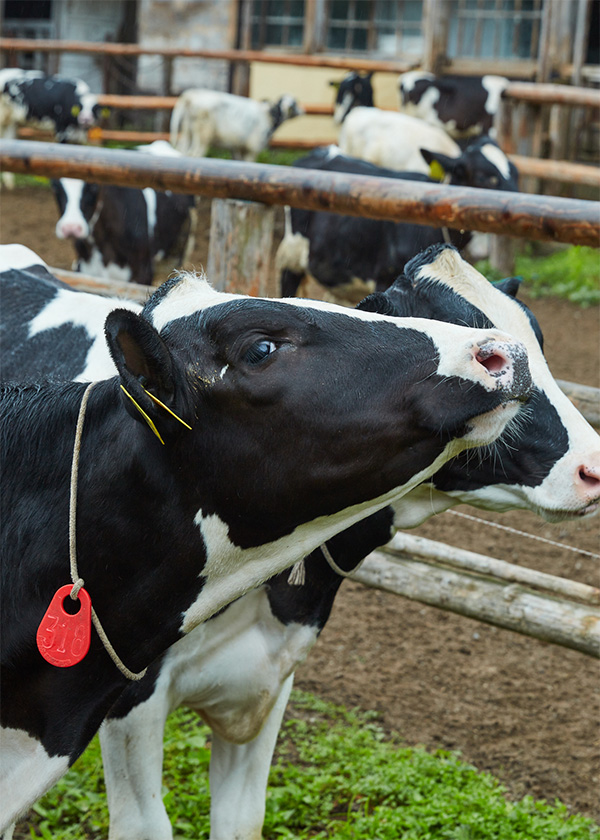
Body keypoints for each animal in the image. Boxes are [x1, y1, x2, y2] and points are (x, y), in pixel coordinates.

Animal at [3, 244, 600, 840]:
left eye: (537, 341)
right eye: (261, 348)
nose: (592, 468)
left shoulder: (271, 675)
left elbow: (242, 820)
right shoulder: (132, 706)